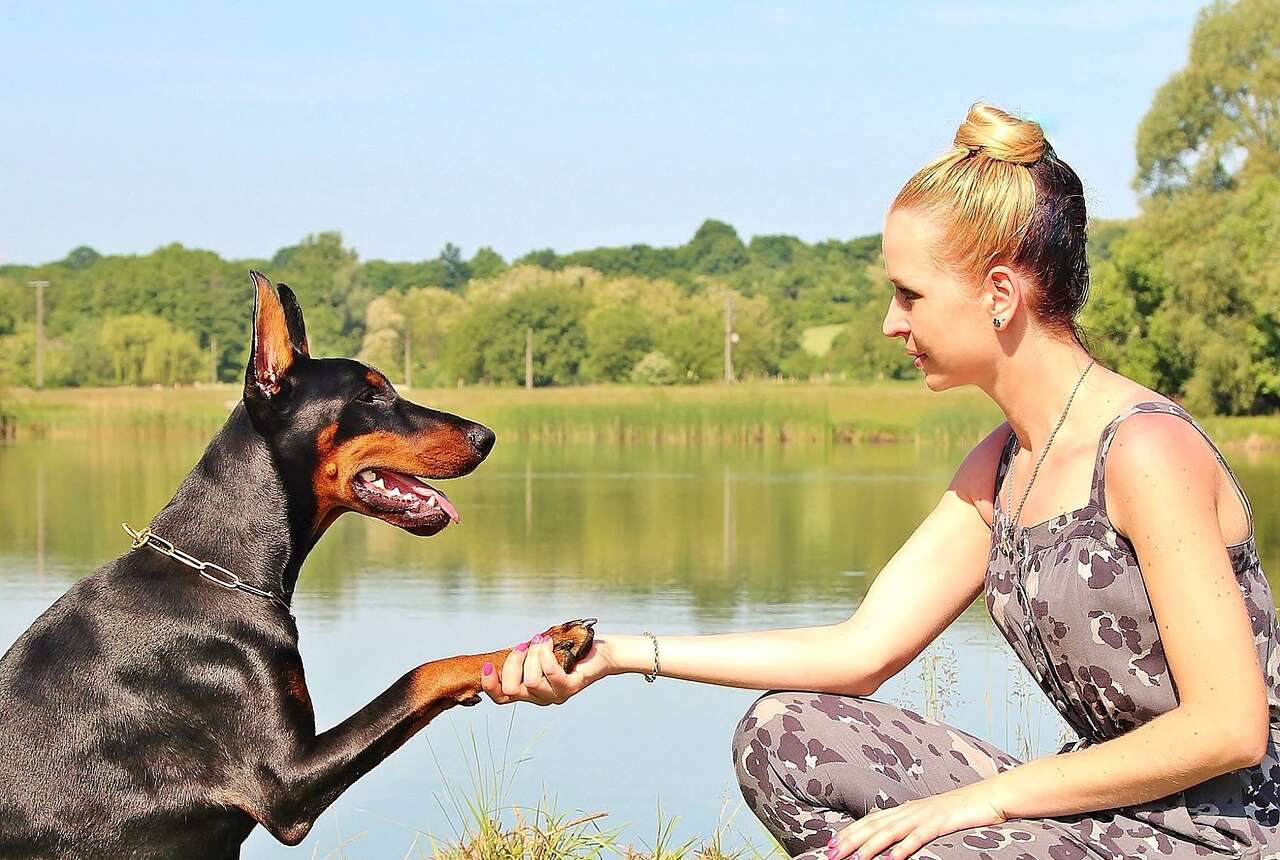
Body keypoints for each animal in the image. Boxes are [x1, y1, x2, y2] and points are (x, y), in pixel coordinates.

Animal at [0, 273, 596, 860]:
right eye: (370, 393)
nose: (486, 437)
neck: (220, 571)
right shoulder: (287, 781)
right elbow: (420, 673)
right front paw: (547, 643)